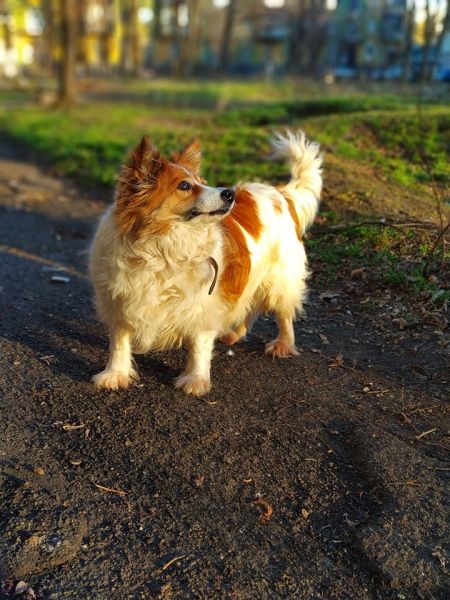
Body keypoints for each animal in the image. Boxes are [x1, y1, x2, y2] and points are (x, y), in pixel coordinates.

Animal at [89, 130, 320, 394]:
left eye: (202, 180)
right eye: (184, 186)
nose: (229, 193)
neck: (162, 248)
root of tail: (280, 192)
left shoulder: (203, 305)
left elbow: (199, 346)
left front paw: (195, 380)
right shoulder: (120, 300)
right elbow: (119, 342)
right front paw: (114, 374)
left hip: (279, 280)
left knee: (284, 314)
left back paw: (283, 344)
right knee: (248, 306)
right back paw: (234, 334)